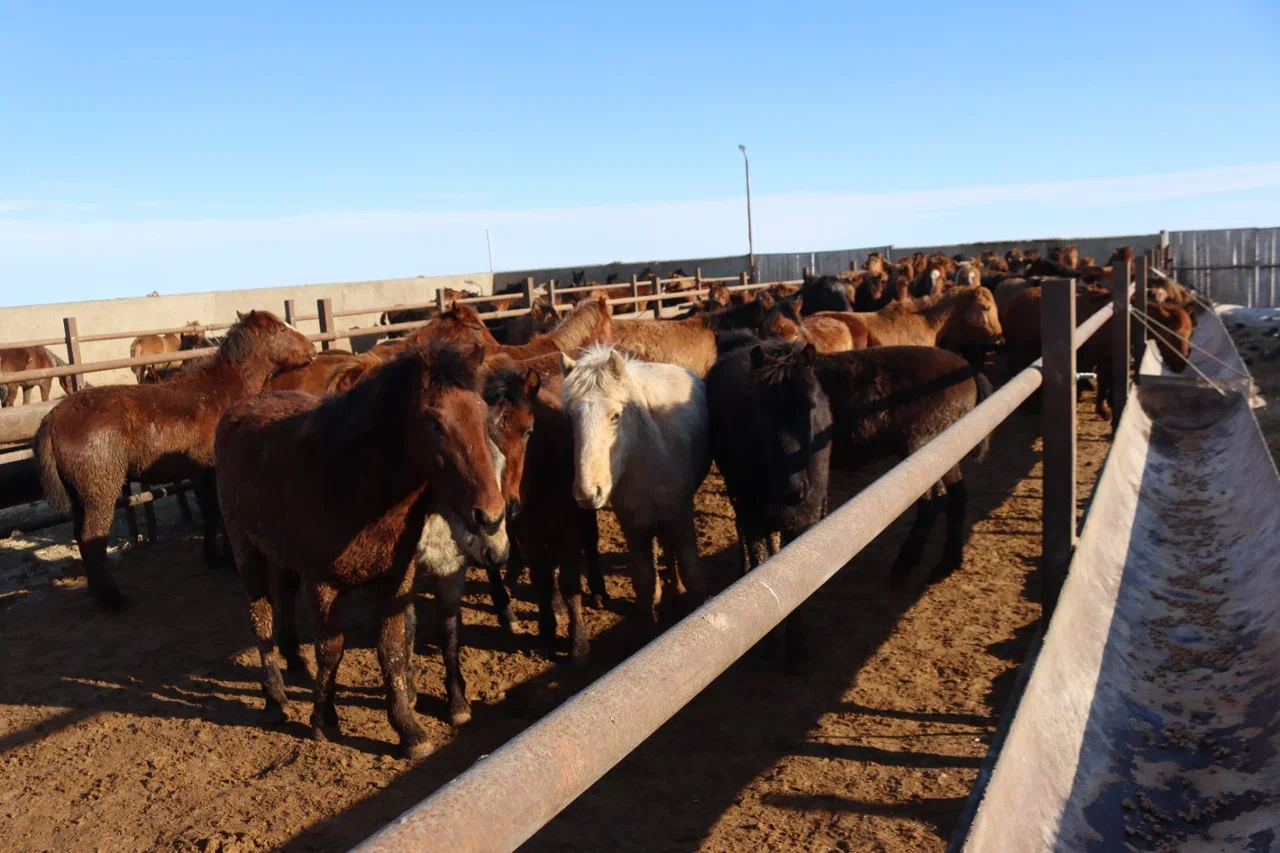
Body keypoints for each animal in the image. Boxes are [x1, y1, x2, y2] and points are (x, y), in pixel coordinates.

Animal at [34, 308, 314, 607]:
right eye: (281, 330)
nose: (312, 349)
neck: (222, 388)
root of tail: (52, 420)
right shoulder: (216, 472)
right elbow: (220, 515)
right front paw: (230, 561)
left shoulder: (203, 473)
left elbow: (210, 513)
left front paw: (214, 557)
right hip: (99, 491)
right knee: (91, 538)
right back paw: (112, 598)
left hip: (79, 497)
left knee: (80, 537)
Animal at [215, 343, 504, 753]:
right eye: (435, 423)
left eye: (482, 414)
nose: (490, 515)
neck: (351, 482)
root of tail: (241, 409)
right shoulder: (322, 581)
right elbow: (331, 649)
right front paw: (324, 720)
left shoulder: (396, 578)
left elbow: (393, 649)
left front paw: (407, 728)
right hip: (245, 546)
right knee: (261, 615)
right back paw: (274, 698)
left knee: (282, 595)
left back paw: (295, 662)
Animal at [560, 343, 711, 617]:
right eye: (570, 418)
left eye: (615, 416)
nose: (588, 493)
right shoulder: (633, 526)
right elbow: (645, 581)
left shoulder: (681, 517)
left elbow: (693, 574)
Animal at [706, 333, 834, 655]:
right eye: (760, 410)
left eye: (811, 406)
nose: (793, 490)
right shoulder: (752, 514)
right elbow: (762, 566)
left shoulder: (804, 519)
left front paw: (796, 642)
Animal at [814, 345, 993, 584]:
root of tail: (970, 370)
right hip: (945, 451)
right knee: (957, 496)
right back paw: (946, 563)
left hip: (921, 447)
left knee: (933, 502)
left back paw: (906, 562)